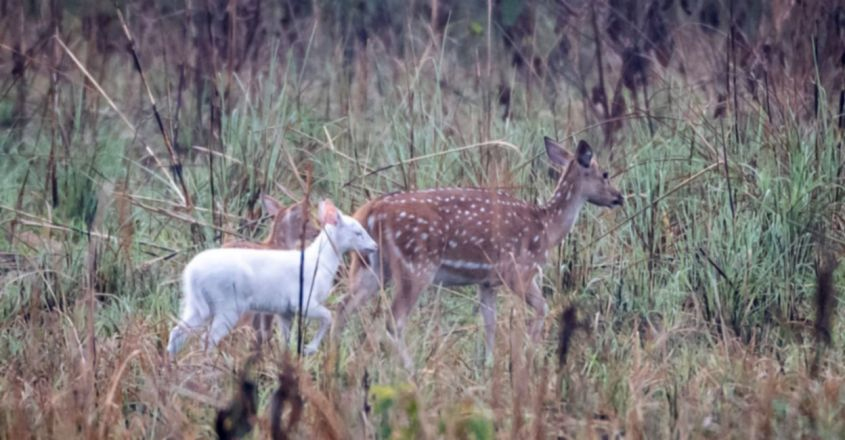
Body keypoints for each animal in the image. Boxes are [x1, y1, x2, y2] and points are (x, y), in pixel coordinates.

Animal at [333, 137, 624, 368]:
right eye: (605, 173)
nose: (619, 197)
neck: (546, 227)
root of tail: (370, 211)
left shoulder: (486, 282)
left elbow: (490, 323)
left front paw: (488, 365)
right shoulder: (519, 270)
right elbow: (542, 307)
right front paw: (527, 357)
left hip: (370, 266)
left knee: (343, 307)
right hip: (416, 265)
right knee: (393, 320)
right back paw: (409, 369)